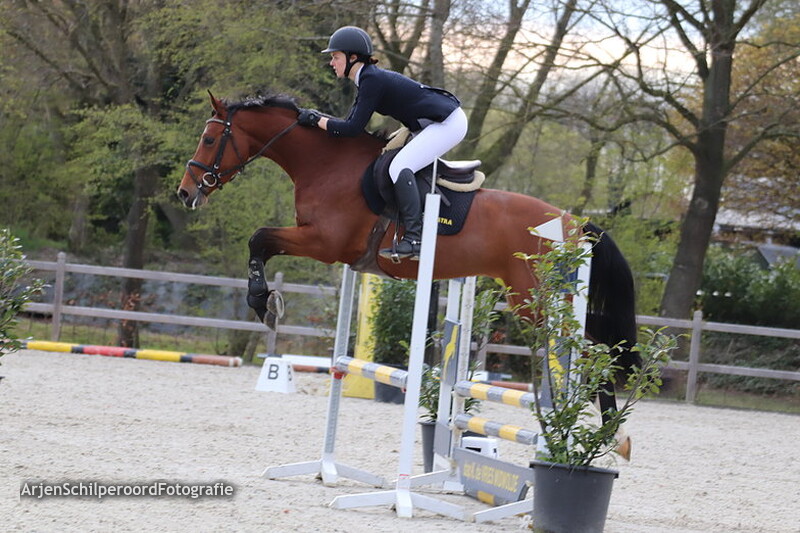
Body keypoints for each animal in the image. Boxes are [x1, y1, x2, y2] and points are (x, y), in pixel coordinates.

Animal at [177, 91, 639, 436]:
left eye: (208, 139)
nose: (185, 192)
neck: (328, 165)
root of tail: (575, 223)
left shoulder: (323, 242)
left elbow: (258, 238)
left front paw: (263, 303)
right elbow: (261, 242)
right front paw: (265, 302)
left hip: (537, 300)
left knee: (592, 349)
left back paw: (605, 430)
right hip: (533, 299)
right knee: (592, 348)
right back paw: (599, 425)